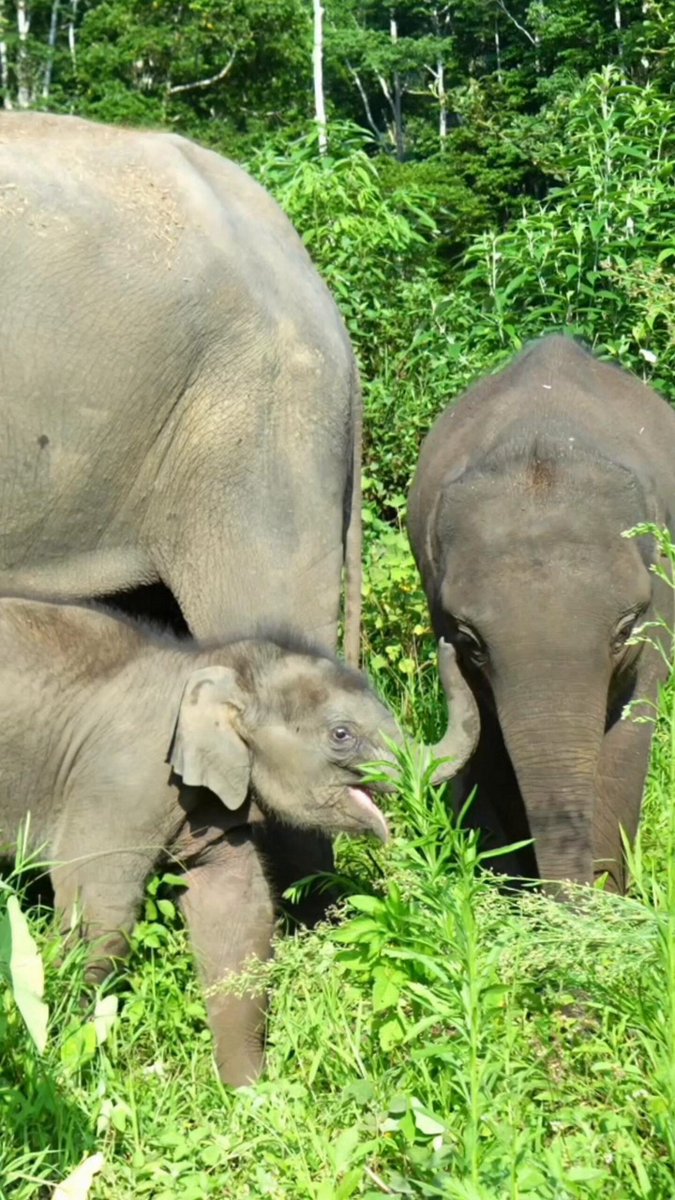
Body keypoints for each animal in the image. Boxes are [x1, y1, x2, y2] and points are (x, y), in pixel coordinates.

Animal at [0, 595, 478, 1085]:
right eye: (341, 735)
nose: (452, 642)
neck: (204, 667)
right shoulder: (119, 781)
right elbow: (100, 911)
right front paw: (62, 1064)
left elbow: (237, 912)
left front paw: (250, 1090)